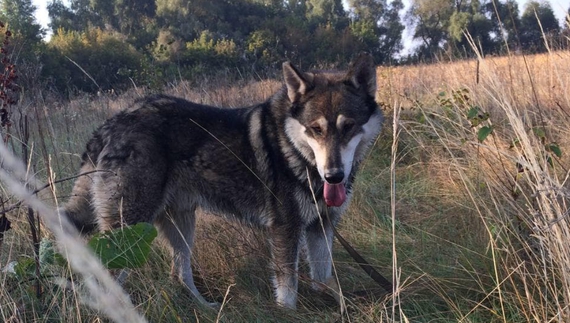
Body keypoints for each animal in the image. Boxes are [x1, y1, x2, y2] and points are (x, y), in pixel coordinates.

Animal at [58, 53, 382, 312]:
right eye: (315, 129)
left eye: (349, 127)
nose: (333, 176)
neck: (294, 151)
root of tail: (110, 124)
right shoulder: (285, 230)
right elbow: (288, 289)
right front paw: (288, 315)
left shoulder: (322, 227)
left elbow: (323, 279)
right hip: (128, 233)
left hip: (181, 225)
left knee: (179, 274)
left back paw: (207, 308)